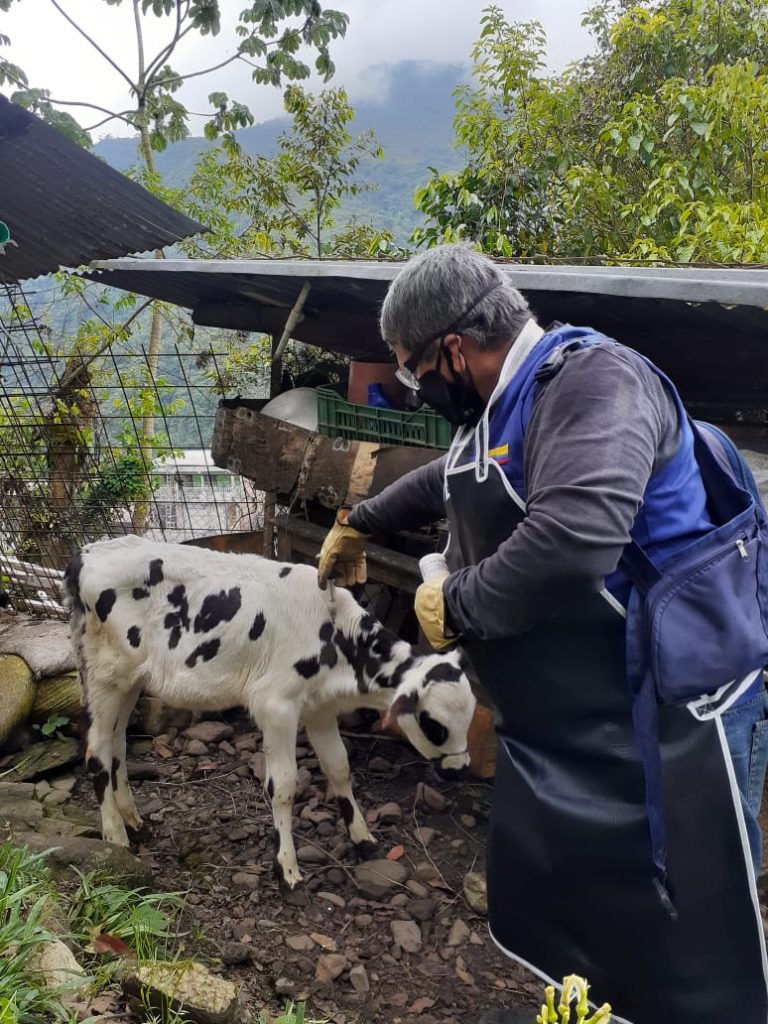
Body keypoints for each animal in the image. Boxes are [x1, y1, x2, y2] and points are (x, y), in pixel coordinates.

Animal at [64, 536, 475, 888]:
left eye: (468, 720)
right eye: (434, 724)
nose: (461, 770)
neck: (337, 636)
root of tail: (87, 552)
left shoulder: (320, 709)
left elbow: (340, 769)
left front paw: (363, 838)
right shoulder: (276, 705)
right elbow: (284, 786)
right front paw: (287, 869)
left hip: (130, 680)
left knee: (117, 745)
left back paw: (134, 822)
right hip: (105, 674)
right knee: (97, 752)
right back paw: (116, 837)